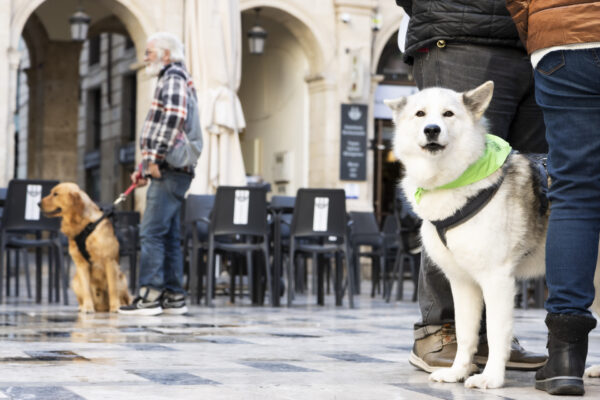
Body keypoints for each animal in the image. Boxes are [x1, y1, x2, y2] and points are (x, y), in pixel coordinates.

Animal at [41, 184, 132, 312]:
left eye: (55, 194)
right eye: (52, 193)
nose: (38, 203)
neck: (86, 226)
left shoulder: (109, 261)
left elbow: (112, 288)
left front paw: (115, 307)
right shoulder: (81, 264)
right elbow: (86, 289)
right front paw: (88, 307)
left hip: (122, 279)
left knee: (125, 297)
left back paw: (123, 306)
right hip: (75, 281)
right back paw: (82, 306)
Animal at [384, 82, 600, 390]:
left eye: (448, 114)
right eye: (420, 114)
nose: (432, 130)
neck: (456, 179)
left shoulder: (497, 280)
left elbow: (498, 333)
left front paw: (492, 378)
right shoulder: (462, 282)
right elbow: (465, 333)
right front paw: (457, 372)